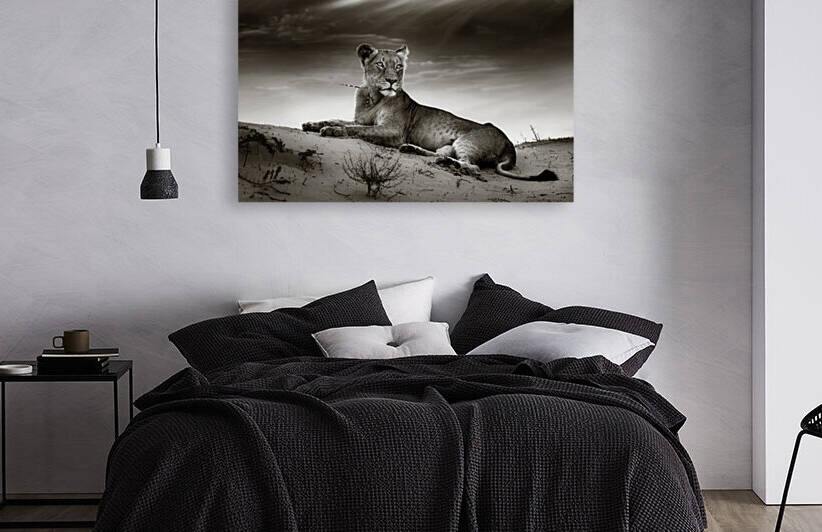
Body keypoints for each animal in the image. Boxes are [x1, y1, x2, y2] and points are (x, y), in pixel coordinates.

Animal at [302, 43, 558, 182]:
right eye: (380, 64)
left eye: (399, 67)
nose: (393, 81)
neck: (372, 95)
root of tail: (509, 144)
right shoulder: (364, 120)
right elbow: (342, 120)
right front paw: (312, 124)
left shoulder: (393, 131)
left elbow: (354, 130)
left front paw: (332, 131)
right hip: (449, 144)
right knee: (441, 154)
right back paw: (414, 150)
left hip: (467, 141)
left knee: (471, 166)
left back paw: (446, 164)